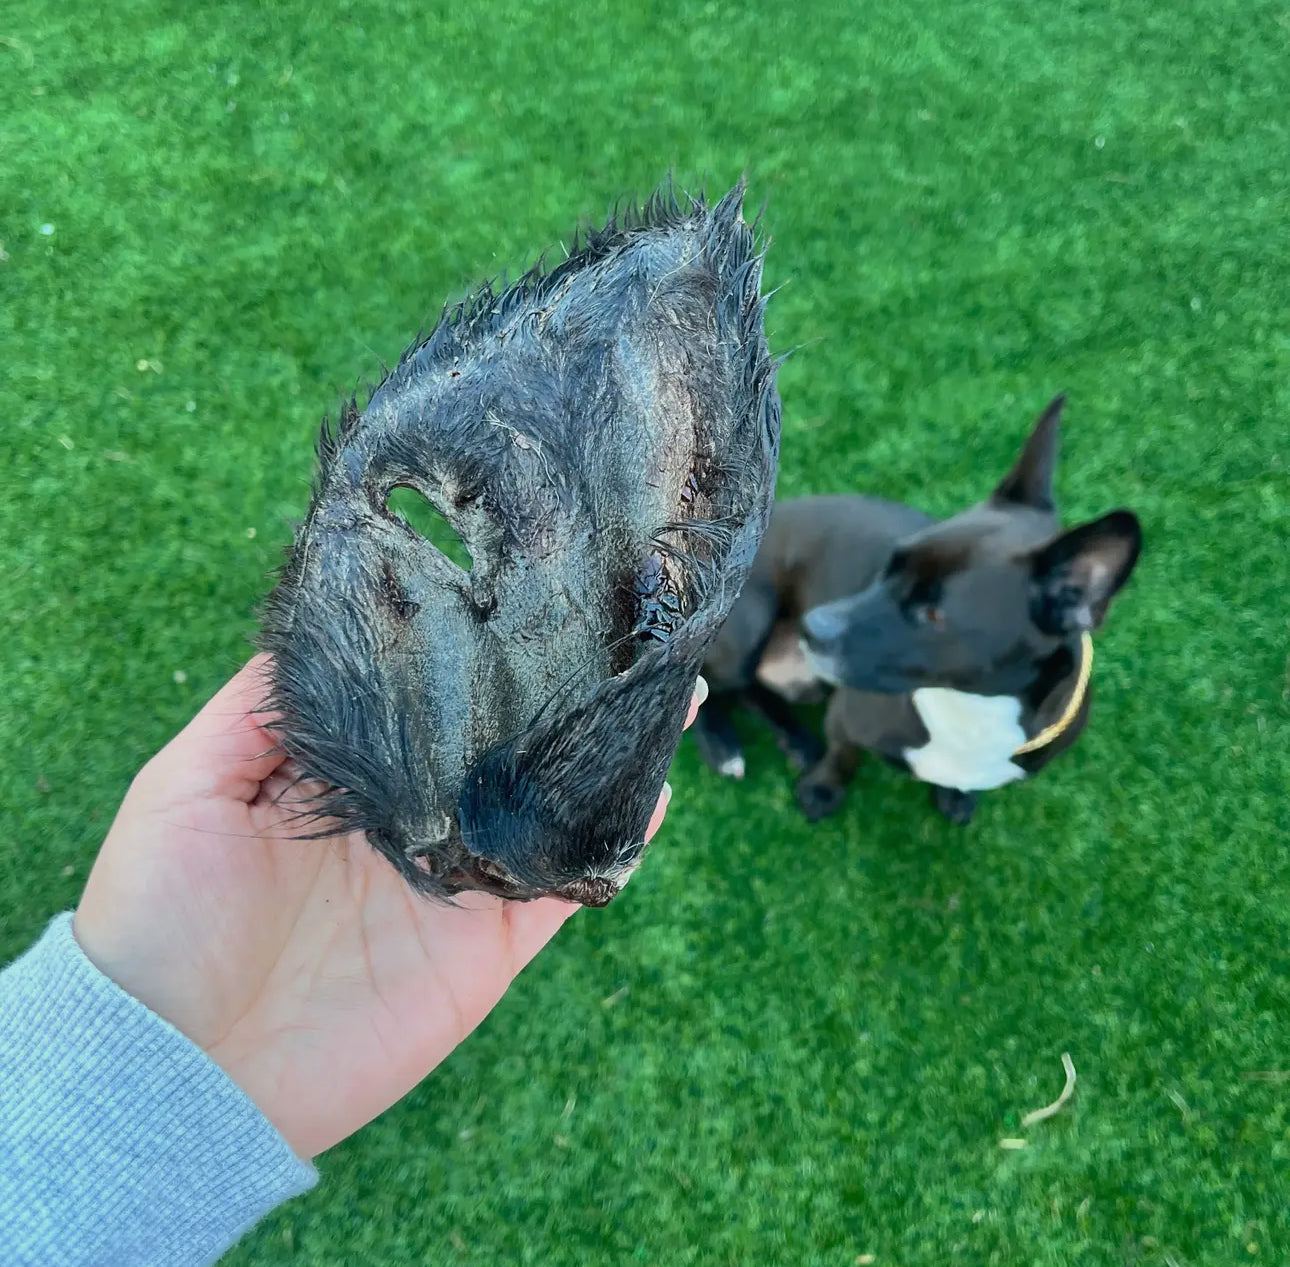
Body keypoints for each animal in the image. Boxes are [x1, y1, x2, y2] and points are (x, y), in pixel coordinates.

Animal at [696, 399, 1140, 830]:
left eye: (933, 614)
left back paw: (794, 738)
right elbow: (843, 758)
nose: (811, 628)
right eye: (888, 567)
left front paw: (955, 794)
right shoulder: (846, 719)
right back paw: (724, 745)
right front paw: (822, 790)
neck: (972, 708)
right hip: (744, 630)